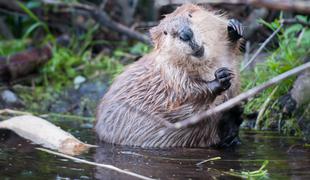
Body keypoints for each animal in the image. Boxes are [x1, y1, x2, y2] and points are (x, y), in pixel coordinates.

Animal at [95, 3, 243, 148]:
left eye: (190, 15)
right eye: (165, 32)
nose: (186, 34)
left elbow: (230, 50)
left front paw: (234, 28)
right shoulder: (171, 74)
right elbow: (186, 96)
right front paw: (220, 77)